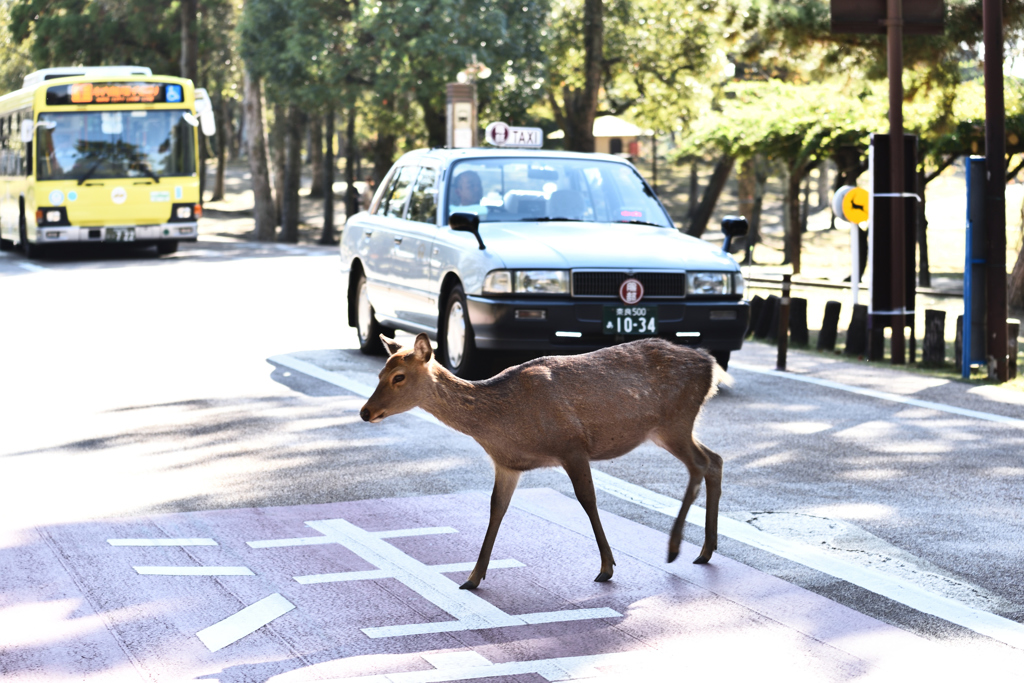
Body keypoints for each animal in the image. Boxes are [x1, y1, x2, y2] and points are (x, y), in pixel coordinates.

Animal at [360, 333, 729, 589]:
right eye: (379, 373)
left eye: (398, 376)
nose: (365, 412)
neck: (501, 424)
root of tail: (711, 365)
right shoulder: (508, 464)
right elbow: (497, 508)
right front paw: (473, 577)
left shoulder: (572, 445)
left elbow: (587, 499)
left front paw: (606, 567)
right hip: (672, 428)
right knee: (715, 459)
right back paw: (705, 549)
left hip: (675, 421)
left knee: (700, 465)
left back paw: (675, 547)